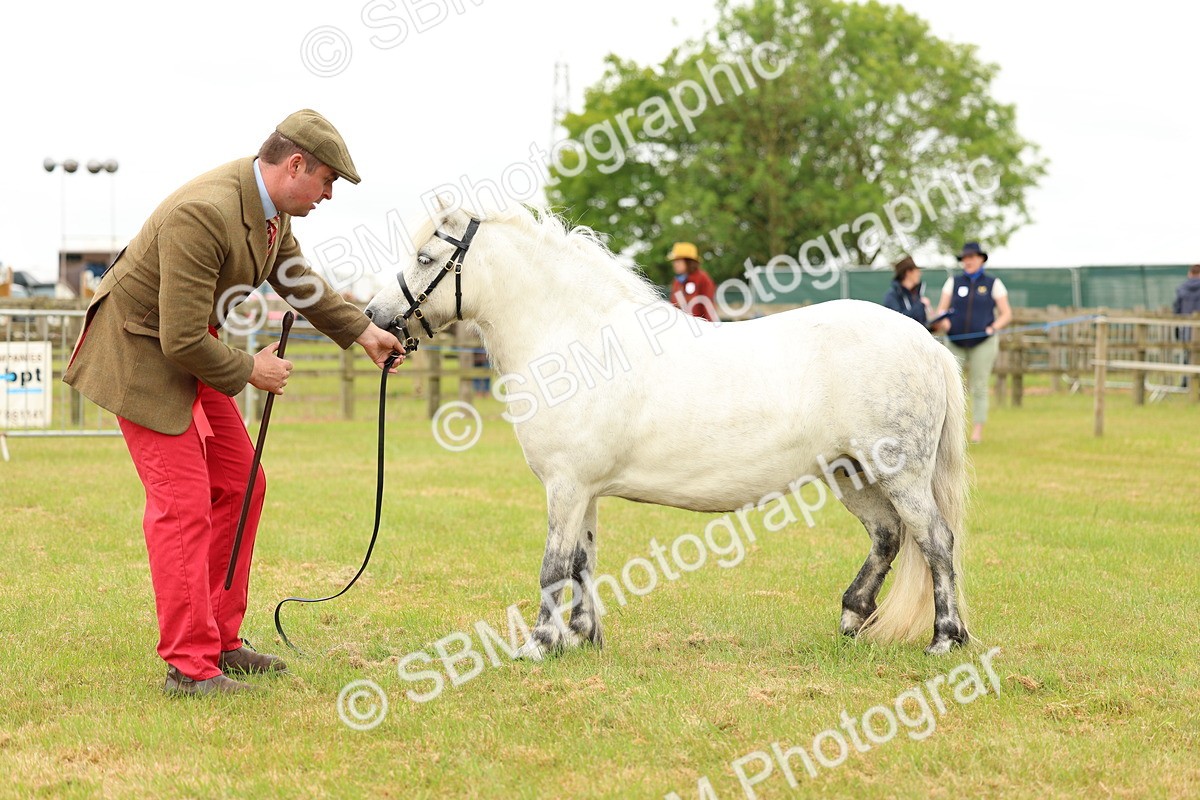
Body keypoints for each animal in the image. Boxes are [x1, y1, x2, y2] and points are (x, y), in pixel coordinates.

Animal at [364, 205, 971, 658]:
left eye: (424, 257)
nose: (375, 315)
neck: (578, 344)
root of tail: (924, 341)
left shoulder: (565, 486)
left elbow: (554, 566)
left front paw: (539, 644)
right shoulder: (584, 491)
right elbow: (582, 562)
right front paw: (582, 637)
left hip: (900, 473)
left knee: (935, 539)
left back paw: (945, 639)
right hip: (852, 473)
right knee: (888, 536)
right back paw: (851, 617)